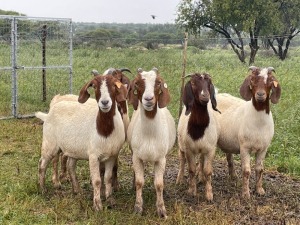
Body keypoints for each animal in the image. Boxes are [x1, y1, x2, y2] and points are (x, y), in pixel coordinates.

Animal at [36, 74, 127, 210]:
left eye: (113, 86)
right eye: (94, 86)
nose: (105, 102)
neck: (104, 130)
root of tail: (48, 114)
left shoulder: (112, 156)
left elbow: (108, 178)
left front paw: (110, 200)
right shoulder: (93, 156)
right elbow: (97, 180)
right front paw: (97, 205)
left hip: (73, 149)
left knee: (70, 166)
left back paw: (77, 190)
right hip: (50, 144)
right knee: (42, 164)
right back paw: (43, 189)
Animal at [126, 68, 176, 218]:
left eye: (158, 82)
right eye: (137, 83)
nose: (148, 99)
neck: (149, 135)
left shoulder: (160, 159)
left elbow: (159, 184)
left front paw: (161, 210)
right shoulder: (136, 156)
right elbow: (139, 182)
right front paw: (138, 207)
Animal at [176, 73, 220, 201]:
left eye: (209, 83)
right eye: (193, 83)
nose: (205, 96)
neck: (199, 130)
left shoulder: (210, 149)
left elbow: (207, 171)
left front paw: (209, 194)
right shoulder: (189, 150)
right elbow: (191, 169)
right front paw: (192, 191)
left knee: (201, 160)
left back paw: (201, 178)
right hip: (181, 145)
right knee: (182, 160)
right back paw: (179, 180)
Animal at [216, 66, 282, 198]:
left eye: (270, 81)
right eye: (252, 80)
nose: (260, 94)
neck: (259, 123)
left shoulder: (263, 148)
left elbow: (260, 169)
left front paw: (259, 190)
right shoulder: (244, 147)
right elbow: (246, 171)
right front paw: (246, 194)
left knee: (229, 157)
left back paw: (233, 177)